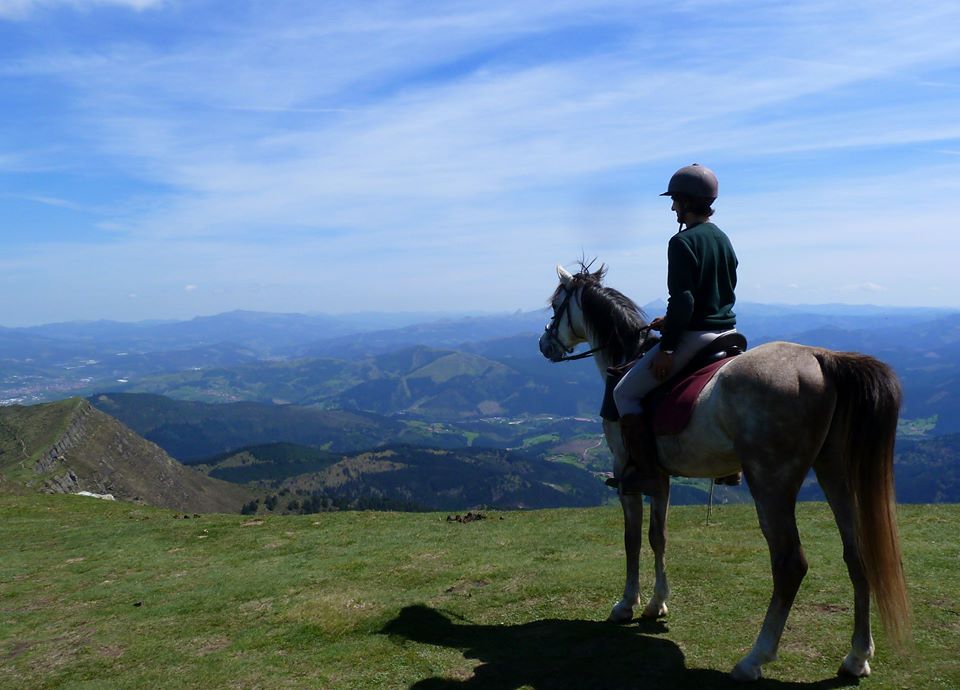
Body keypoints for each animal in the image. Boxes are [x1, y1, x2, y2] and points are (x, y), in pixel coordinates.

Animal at [536, 262, 912, 676]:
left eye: (555, 305)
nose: (544, 345)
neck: (628, 356)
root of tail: (822, 360)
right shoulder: (661, 478)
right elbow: (658, 537)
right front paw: (656, 603)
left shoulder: (626, 473)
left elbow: (632, 539)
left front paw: (626, 604)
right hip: (835, 473)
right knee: (856, 554)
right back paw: (857, 656)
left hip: (771, 483)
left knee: (790, 563)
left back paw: (755, 658)